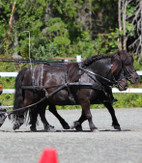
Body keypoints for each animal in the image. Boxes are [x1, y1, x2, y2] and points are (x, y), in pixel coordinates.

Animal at [11, 49, 139, 131]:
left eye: (123, 67)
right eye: (119, 69)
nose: (125, 85)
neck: (91, 75)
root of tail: (28, 69)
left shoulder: (98, 98)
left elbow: (107, 111)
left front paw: (77, 125)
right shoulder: (85, 99)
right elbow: (88, 114)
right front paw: (93, 127)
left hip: (44, 98)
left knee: (40, 111)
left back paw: (46, 127)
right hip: (32, 96)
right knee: (26, 107)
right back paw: (19, 122)